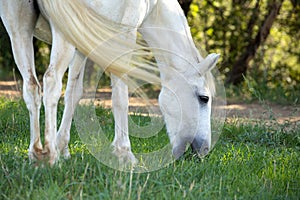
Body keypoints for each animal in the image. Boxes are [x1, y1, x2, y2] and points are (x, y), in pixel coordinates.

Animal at [0, 0, 220, 166]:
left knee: (32, 87)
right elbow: (120, 97)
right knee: (51, 82)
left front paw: (64, 148)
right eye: (204, 98)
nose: (203, 150)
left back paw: (36, 152)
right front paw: (125, 154)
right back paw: (50, 156)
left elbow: (73, 93)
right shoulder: (123, 34)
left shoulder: (82, 43)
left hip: (19, 30)